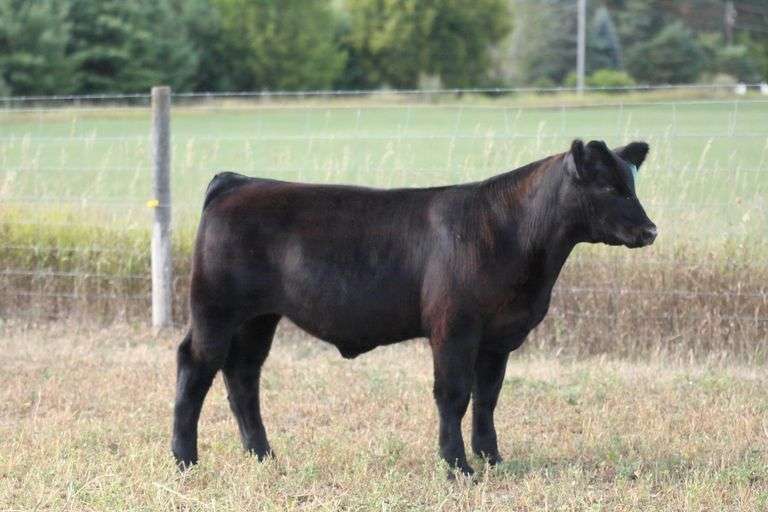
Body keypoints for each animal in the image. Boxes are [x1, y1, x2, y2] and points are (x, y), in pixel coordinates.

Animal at [171, 139, 657, 477]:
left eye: (632, 183)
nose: (651, 230)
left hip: (258, 318)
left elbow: (488, 396)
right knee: (195, 367)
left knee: (243, 374)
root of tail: (239, 182)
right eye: (608, 186)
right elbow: (454, 394)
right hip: (215, 307)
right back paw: (185, 460)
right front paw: (457, 466)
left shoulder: (498, 335)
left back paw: (263, 455)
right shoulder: (454, 327)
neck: (513, 234)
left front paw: (491, 458)